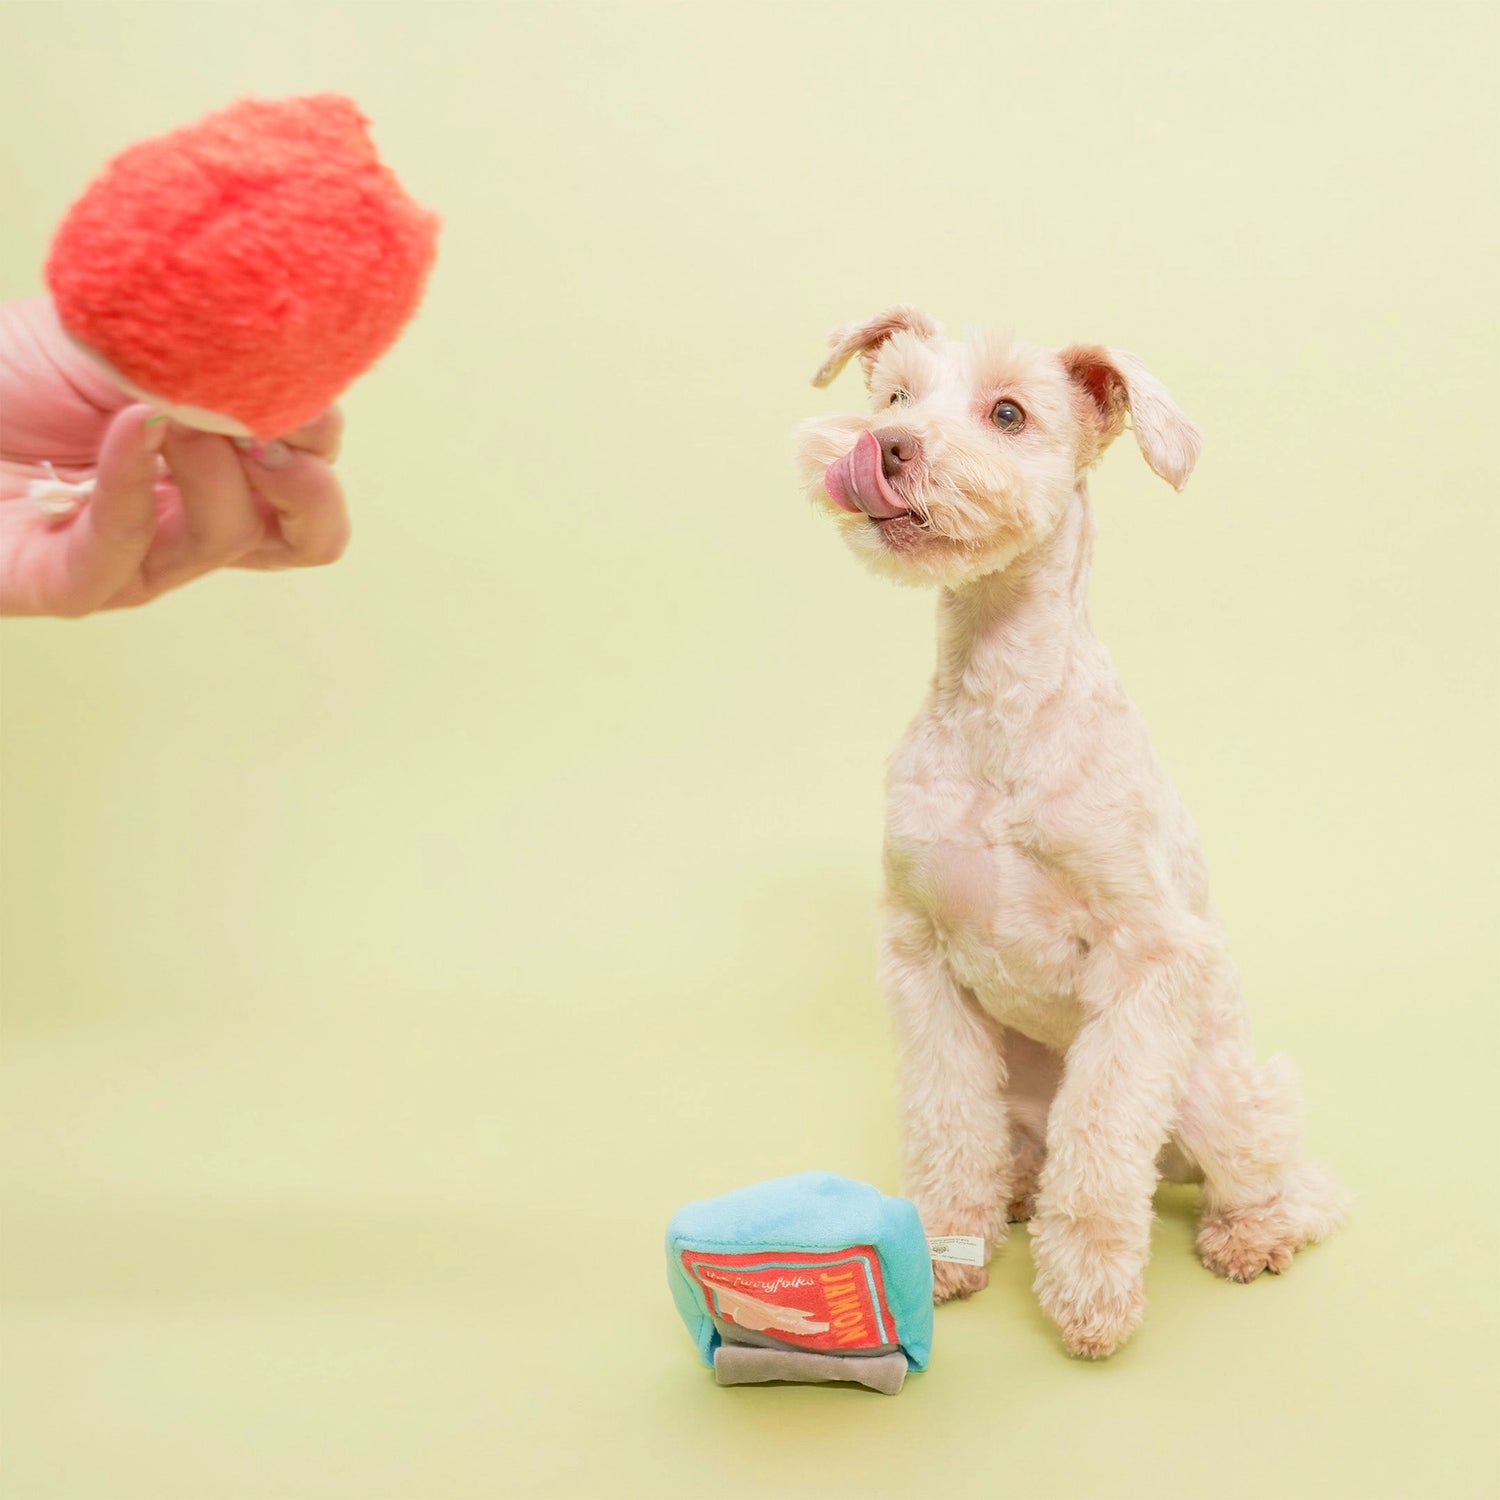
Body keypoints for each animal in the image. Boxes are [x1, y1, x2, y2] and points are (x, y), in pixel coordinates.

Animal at [798, 304, 1350, 1362]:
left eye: (1008, 412)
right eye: (893, 395)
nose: (884, 446)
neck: (1000, 700)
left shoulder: (1147, 964)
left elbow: (1100, 1149)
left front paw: (1091, 1296)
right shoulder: (922, 959)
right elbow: (945, 1123)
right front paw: (948, 1247)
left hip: (1212, 1089)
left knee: (1288, 1181)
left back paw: (1248, 1232)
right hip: (1017, 1091)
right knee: (1017, 1147)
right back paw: (1014, 1190)